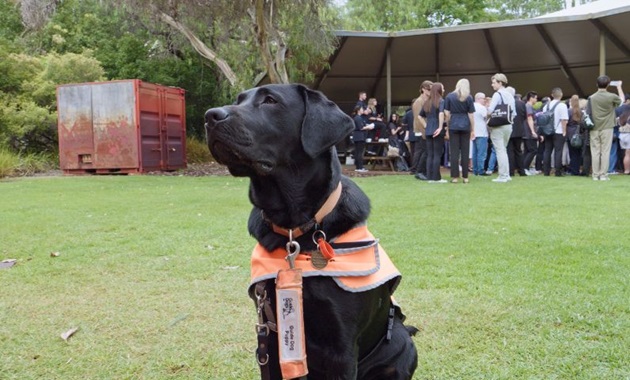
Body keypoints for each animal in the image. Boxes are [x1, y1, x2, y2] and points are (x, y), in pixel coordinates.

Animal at [205, 84, 418, 378]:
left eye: (270, 100)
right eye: (239, 100)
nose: (210, 116)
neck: (294, 229)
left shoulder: (342, 347)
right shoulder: (269, 334)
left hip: (402, 342)